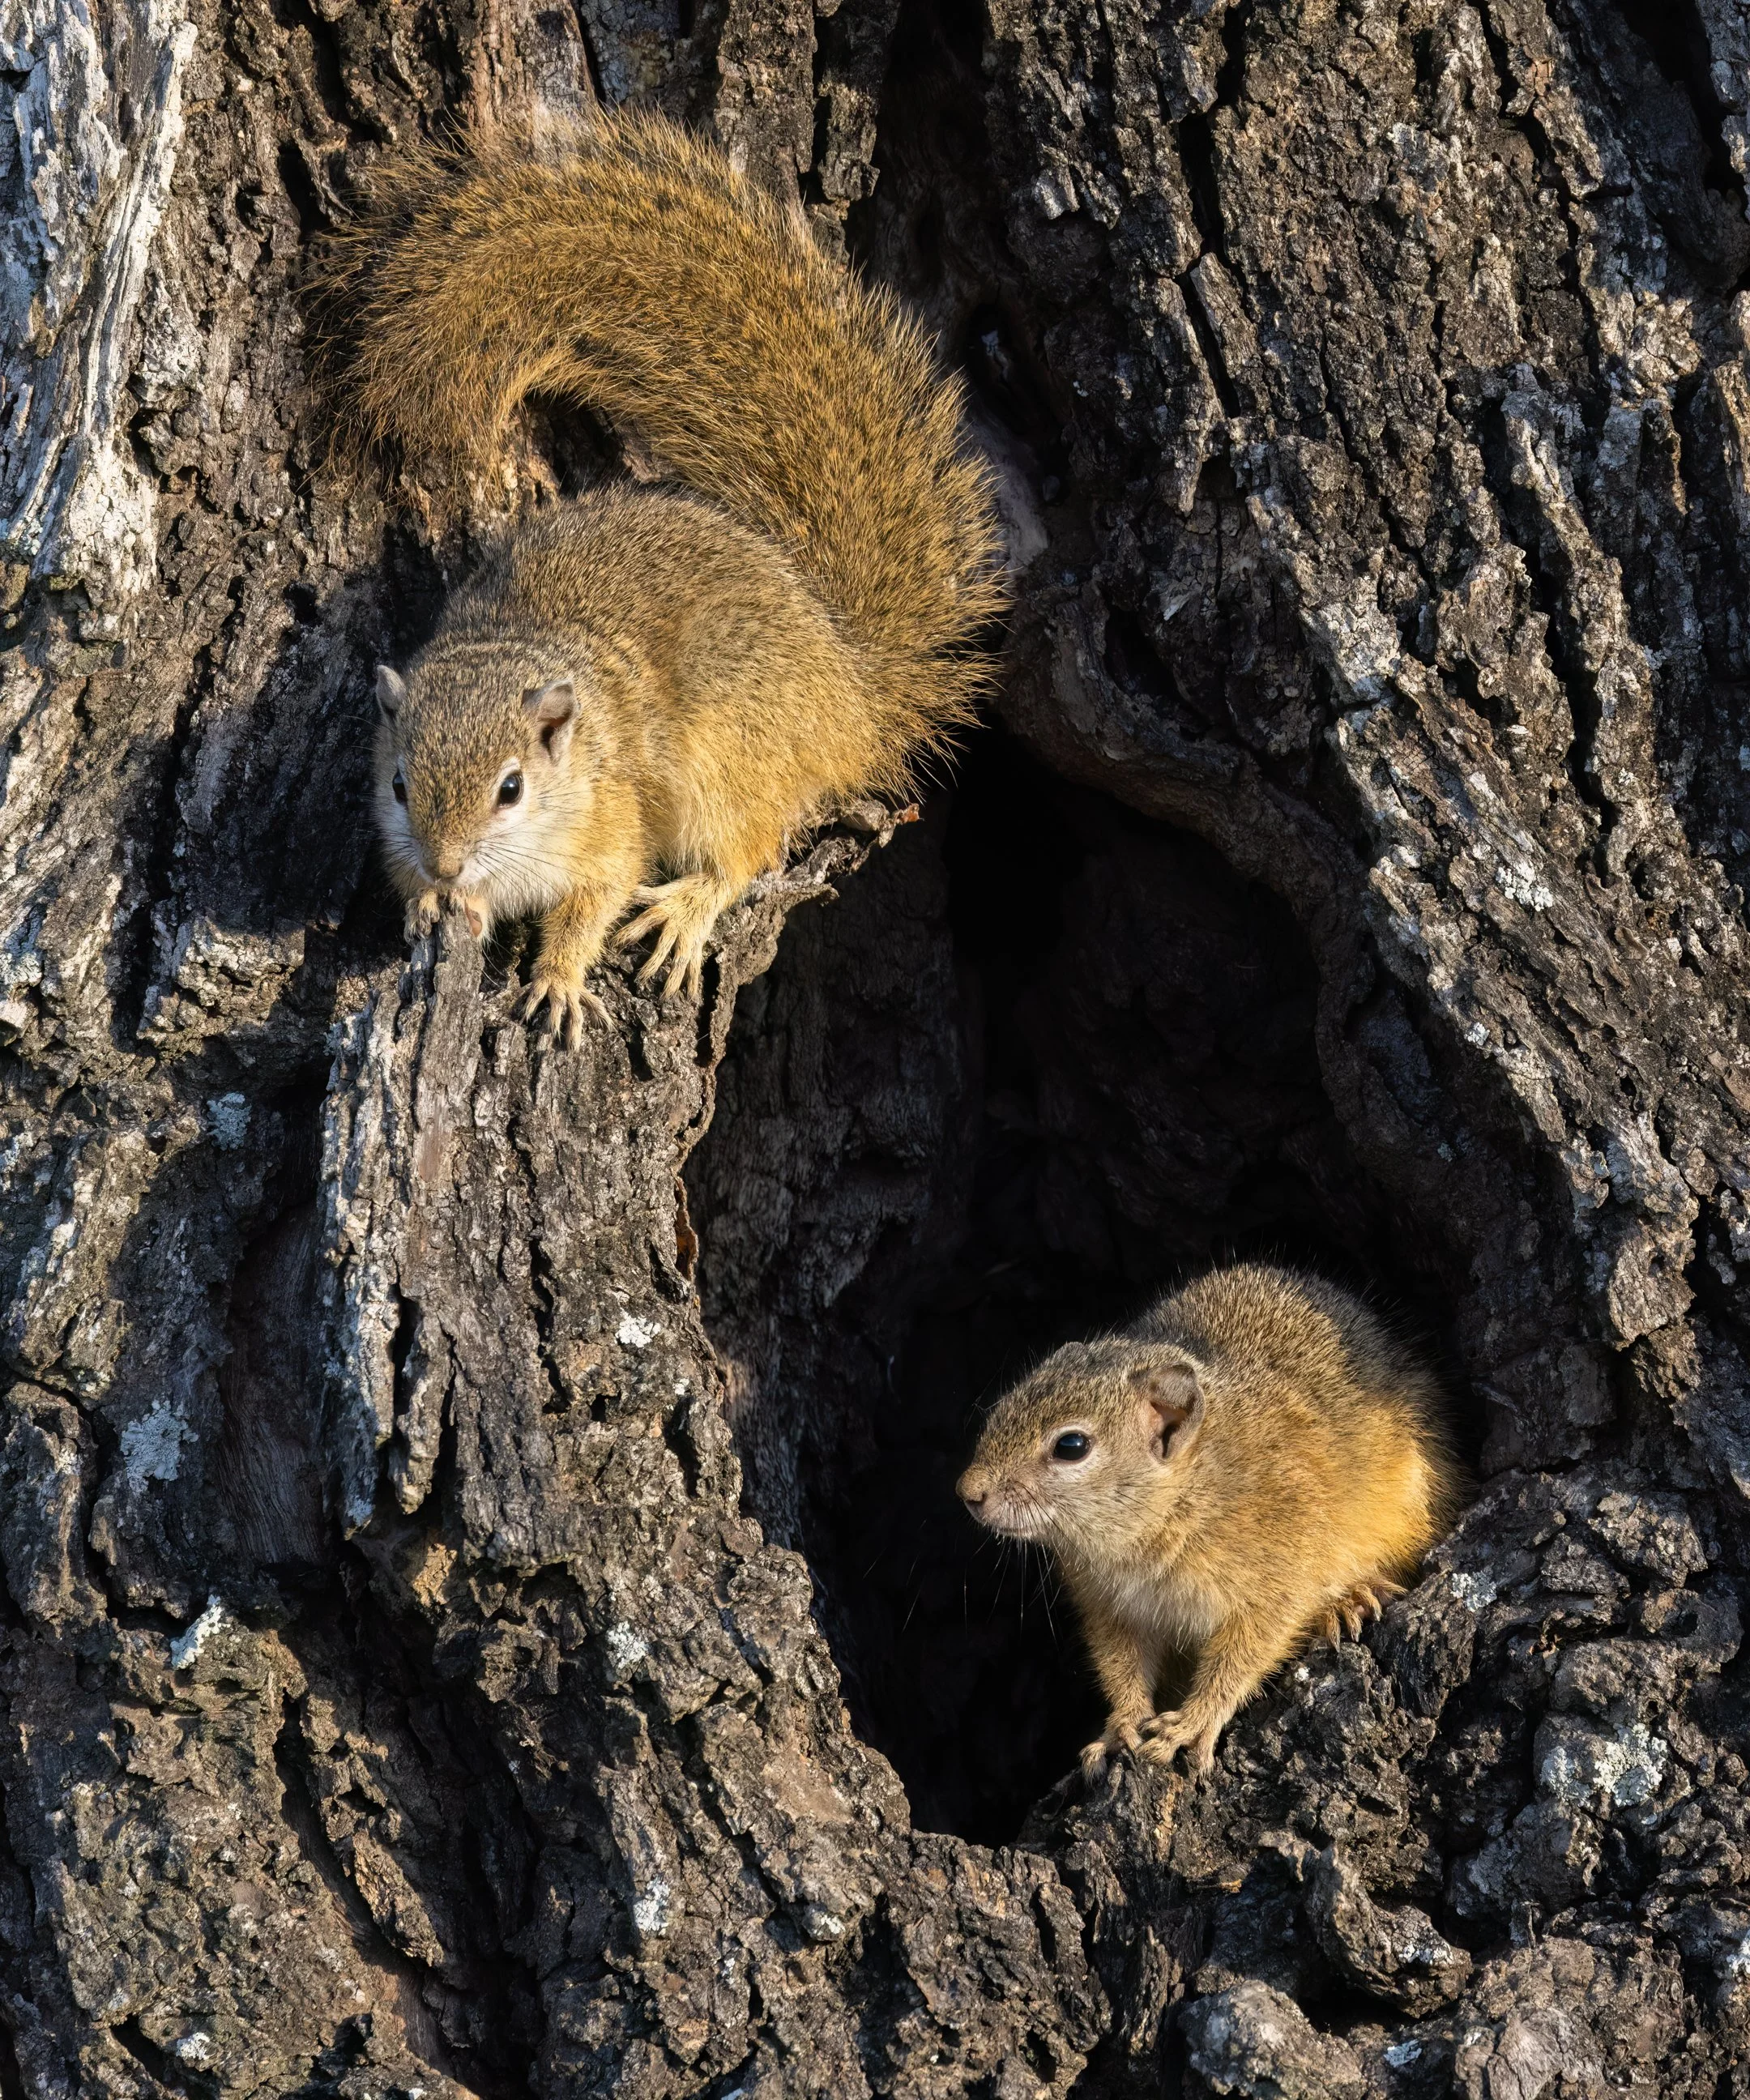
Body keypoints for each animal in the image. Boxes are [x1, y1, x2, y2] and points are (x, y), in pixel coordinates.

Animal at [334, 112, 1002, 1043]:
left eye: (512, 789)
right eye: (398, 784)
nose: (446, 864)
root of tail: (851, 687)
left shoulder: (613, 828)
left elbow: (596, 900)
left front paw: (558, 978)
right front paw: (431, 907)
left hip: (730, 748)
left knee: (747, 850)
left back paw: (687, 909)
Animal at [957, 1263, 1462, 1781]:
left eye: (1071, 1446)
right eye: (1004, 1405)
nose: (969, 1493)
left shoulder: (1279, 1568)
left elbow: (1242, 1656)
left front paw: (1192, 1723)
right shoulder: (1109, 1605)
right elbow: (1122, 1664)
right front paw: (1121, 1726)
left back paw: (1347, 1602)